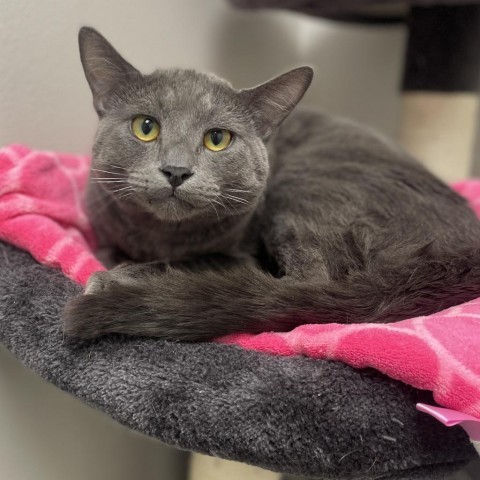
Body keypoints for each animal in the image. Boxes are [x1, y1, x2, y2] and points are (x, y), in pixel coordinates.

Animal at [63, 27, 480, 342]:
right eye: (145, 127)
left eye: (218, 139)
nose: (176, 170)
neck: (158, 238)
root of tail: (459, 256)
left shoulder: (241, 254)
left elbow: (202, 260)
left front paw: (115, 279)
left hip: (307, 188)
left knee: (302, 283)